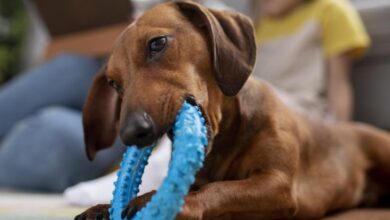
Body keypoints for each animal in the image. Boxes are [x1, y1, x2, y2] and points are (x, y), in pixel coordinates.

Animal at [75, 0, 390, 219]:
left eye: (157, 43)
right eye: (114, 84)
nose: (130, 133)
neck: (227, 137)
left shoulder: (278, 184)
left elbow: (221, 189)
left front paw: (153, 201)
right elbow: (200, 185)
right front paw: (102, 208)